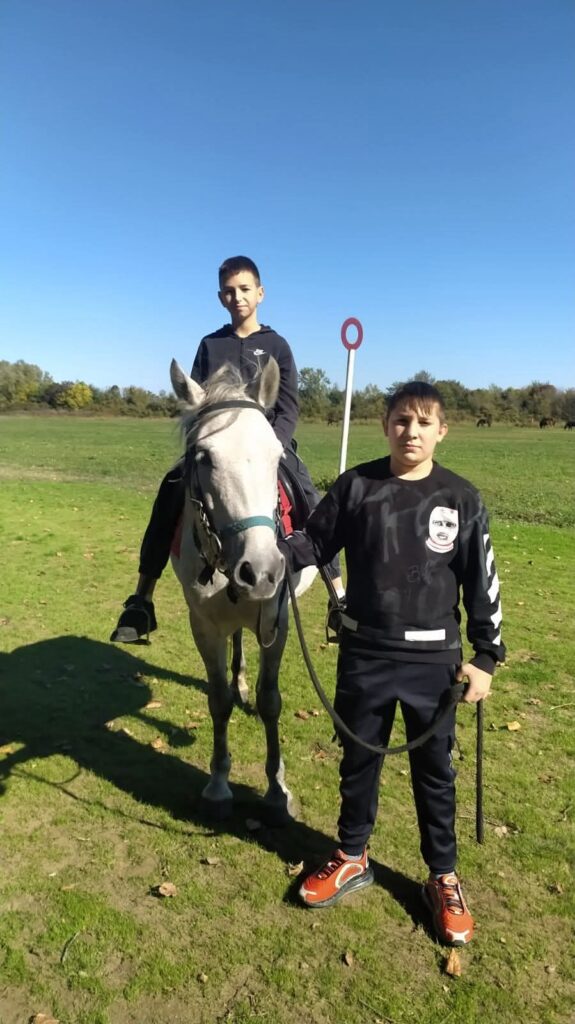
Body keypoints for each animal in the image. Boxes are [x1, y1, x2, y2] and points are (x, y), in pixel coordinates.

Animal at [169, 357, 316, 823]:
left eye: (276, 455)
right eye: (204, 457)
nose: (263, 570)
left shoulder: (277, 621)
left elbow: (271, 702)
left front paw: (277, 789)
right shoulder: (203, 625)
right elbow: (218, 701)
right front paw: (218, 784)